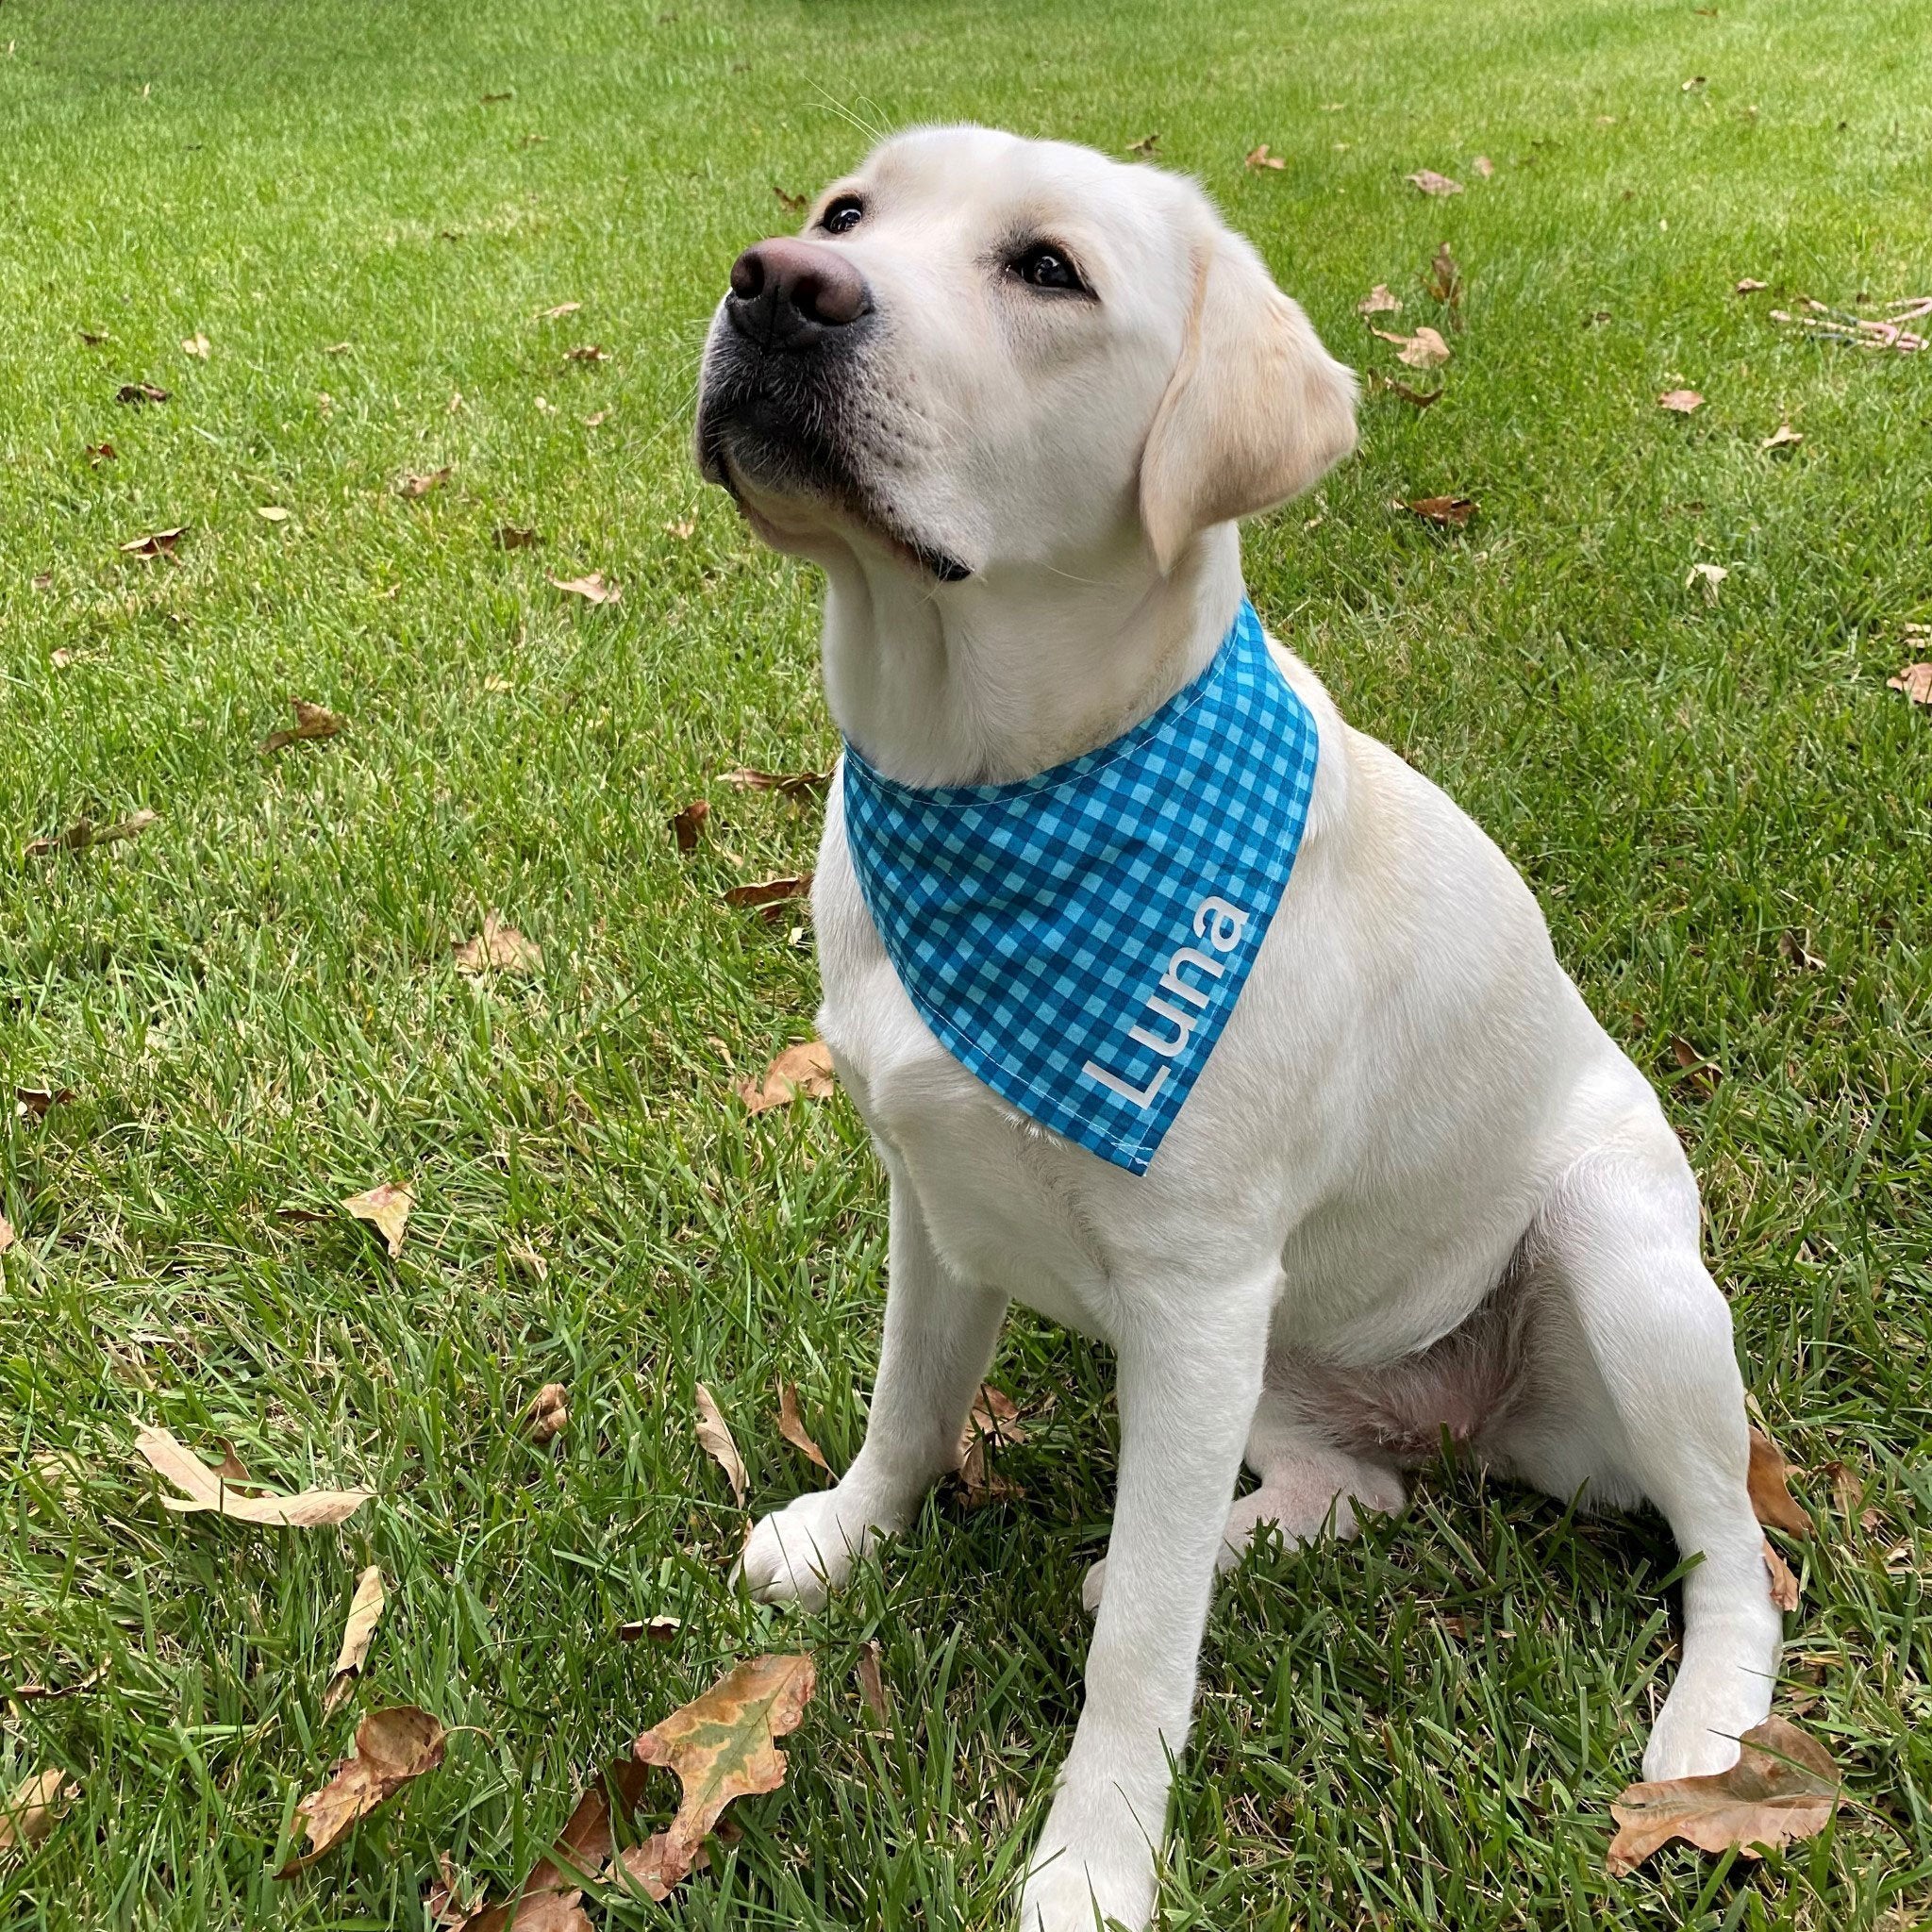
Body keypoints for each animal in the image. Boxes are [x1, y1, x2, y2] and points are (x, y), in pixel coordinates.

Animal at [691, 128, 1777, 1924]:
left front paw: (1090, 1861)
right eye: (848, 213)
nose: (779, 284)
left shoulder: (1196, 1284)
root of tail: (1475, 1432)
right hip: (1264, 1352)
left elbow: (1141, 1657)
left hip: (1611, 1257)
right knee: (1358, 1484)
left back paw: (1707, 1736)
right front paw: (852, 1531)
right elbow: (908, 1405)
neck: (995, 792)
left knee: (1734, 1546)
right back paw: (1234, 1530)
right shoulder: (942, 1200)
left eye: (1045, 271)